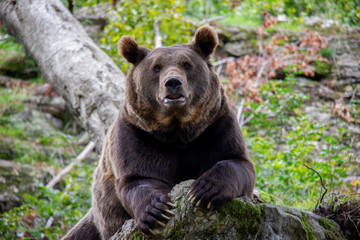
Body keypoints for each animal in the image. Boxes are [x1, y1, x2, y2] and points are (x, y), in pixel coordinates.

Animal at [63, 26, 258, 240]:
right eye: (156, 67)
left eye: (186, 64)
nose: (172, 82)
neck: (177, 130)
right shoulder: (137, 134)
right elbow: (138, 177)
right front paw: (157, 210)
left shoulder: (213, 127)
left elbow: (236, 161)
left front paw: (204, 190)